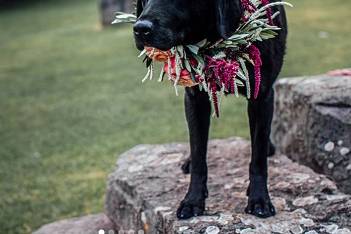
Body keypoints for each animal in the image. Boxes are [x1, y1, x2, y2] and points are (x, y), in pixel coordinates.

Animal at [133, 0, 288, 219]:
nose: (140, 29)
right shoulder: (195, 97)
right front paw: (193, 200)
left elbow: (258, 158)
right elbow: (199, 154)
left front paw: (259, 199)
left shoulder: (262, 95)